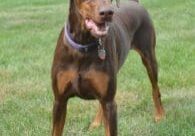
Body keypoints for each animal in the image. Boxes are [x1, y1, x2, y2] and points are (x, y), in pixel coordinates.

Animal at [50, 0, 165, 136]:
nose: (107, 13)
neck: (84, 45)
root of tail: (135, 3)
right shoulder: (59, 100)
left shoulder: (110, 103)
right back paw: (96, 122)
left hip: (149, 57)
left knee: (155, 88)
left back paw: (160, 114)